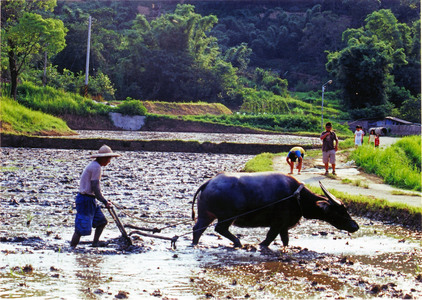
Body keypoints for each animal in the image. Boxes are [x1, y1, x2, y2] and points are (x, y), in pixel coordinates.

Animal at [191, 171, 360, 248]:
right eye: (340, 211)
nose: (355, 226)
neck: (296, 197)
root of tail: (208, 183)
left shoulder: (284, 226)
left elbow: (285, 241)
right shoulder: (277, 224)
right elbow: (268, 239)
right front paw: (260, 245)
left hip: (205, 215)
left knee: (197, 229)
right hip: (227, 217)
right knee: (219, 228)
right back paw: (238, 243)